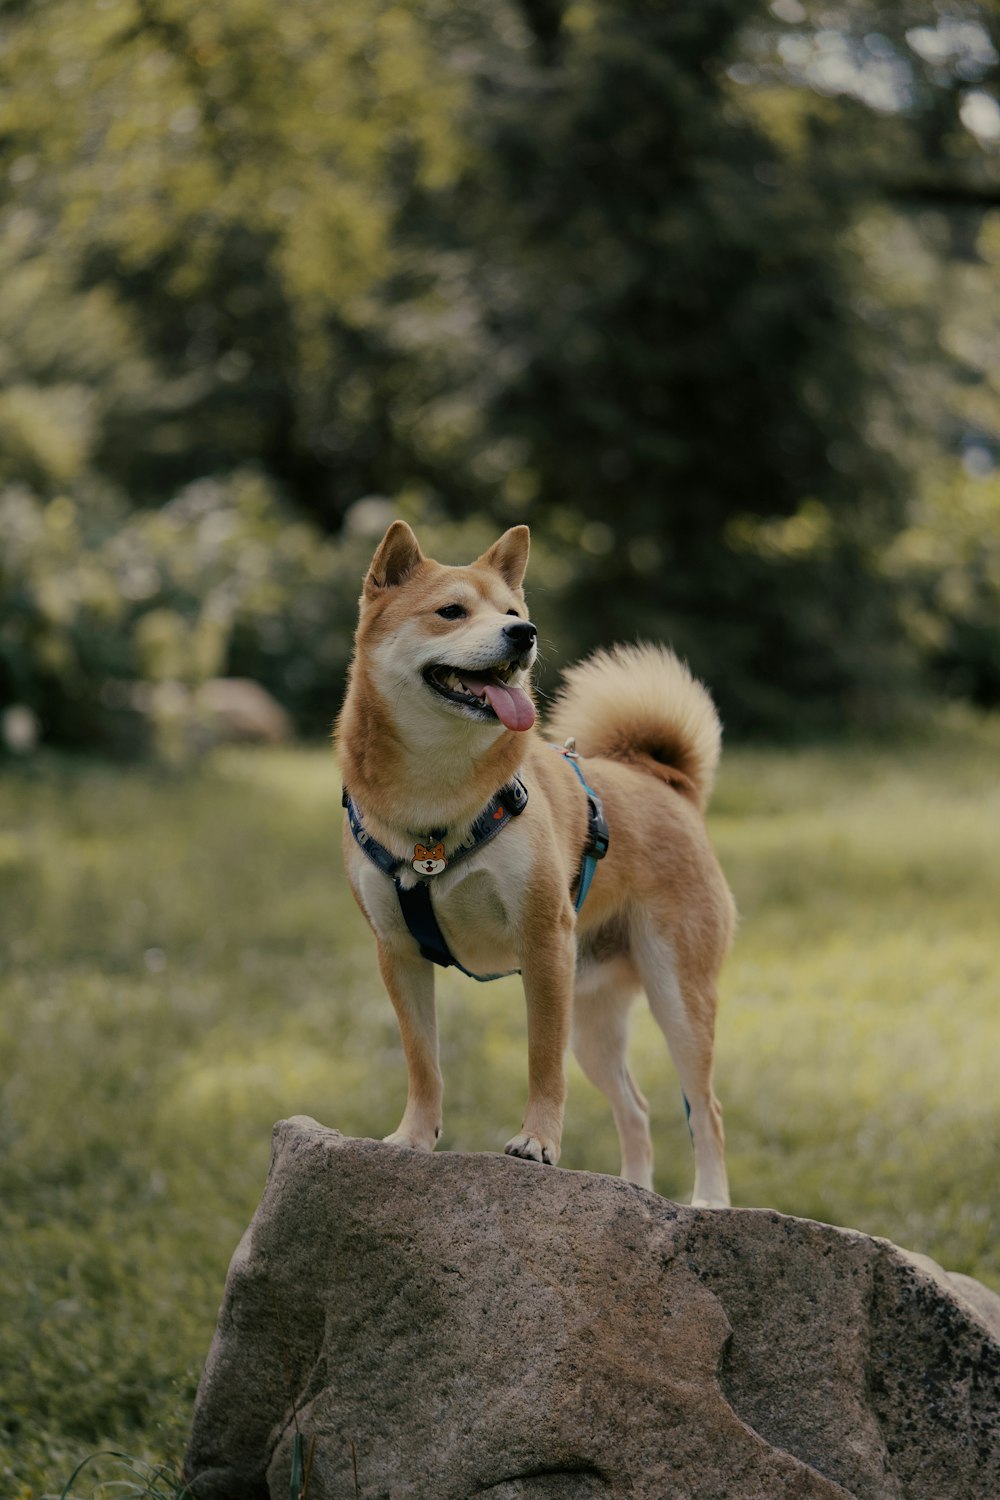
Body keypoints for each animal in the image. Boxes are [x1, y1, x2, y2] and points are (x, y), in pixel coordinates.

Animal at [335, 519, 734, 1206]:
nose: (525, 634)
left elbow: (542, 1062)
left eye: (513, 613)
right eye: (451, 611)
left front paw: (539, 1143)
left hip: (675, 996)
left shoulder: (544, 940)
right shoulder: (398, 952)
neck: (435, 798)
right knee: (637, 1109)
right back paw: (632, 1192)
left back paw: (708, 1201)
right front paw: (413, 1137)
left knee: (703, 1110)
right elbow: (423, 1062)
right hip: (595, 1014)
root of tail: (665, 782)